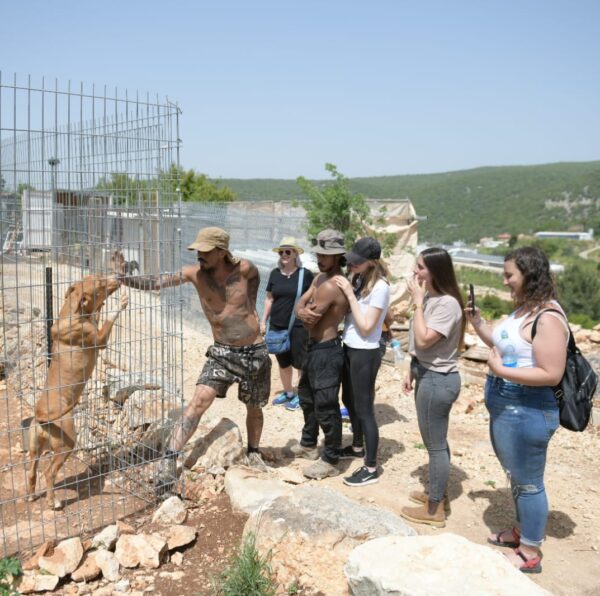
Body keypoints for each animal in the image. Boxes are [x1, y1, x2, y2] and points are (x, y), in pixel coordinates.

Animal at [27, 272, 128, 510]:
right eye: (100, 283)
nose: (119, 275)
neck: (73, 313)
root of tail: (41, 417)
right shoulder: (100, 339)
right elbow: (109, 317)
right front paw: (120, 302)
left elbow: (99, 313)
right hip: (67, 445)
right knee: (48, 473)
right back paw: (53, 502)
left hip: (35, 449)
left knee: (32, 472)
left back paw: (32, 496)